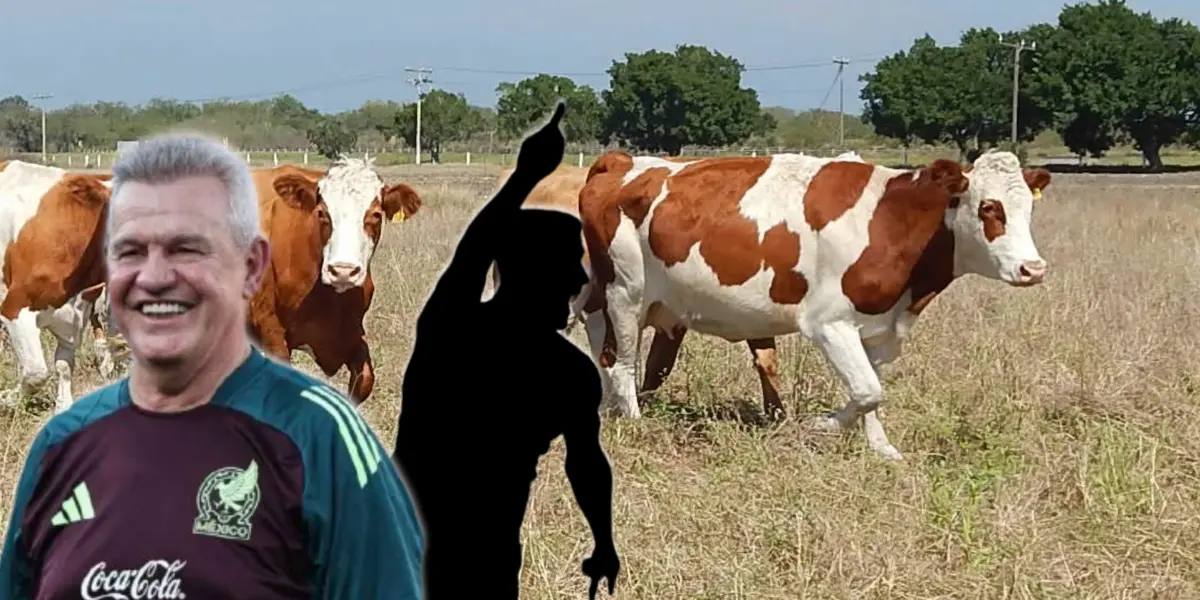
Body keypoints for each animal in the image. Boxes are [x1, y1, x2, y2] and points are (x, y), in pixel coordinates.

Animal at [0, 159, 119, 412]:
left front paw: (63, 407)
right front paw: (8, 397)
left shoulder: (75, 316)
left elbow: (64, 366)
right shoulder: (14, 308)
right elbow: (36, 372)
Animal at [246, 157, 424, 405]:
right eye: (321, 213)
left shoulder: (351, 332)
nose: (342, 271)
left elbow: (364, 381)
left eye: (376, 215)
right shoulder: (270, 329)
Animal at [580, 148, 1051, 458]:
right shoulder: (829, 324)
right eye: (989, 207)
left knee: (605, 354)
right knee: (621, 363)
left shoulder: (877, 329)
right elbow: (867, 391)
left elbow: (872, 390)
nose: (1033, 268)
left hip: (613, 301)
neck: (891, 219)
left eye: (1028, 211)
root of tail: (620, 161)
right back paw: (635, 420)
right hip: (625, 294)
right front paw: (822, 425)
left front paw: (881, 448)